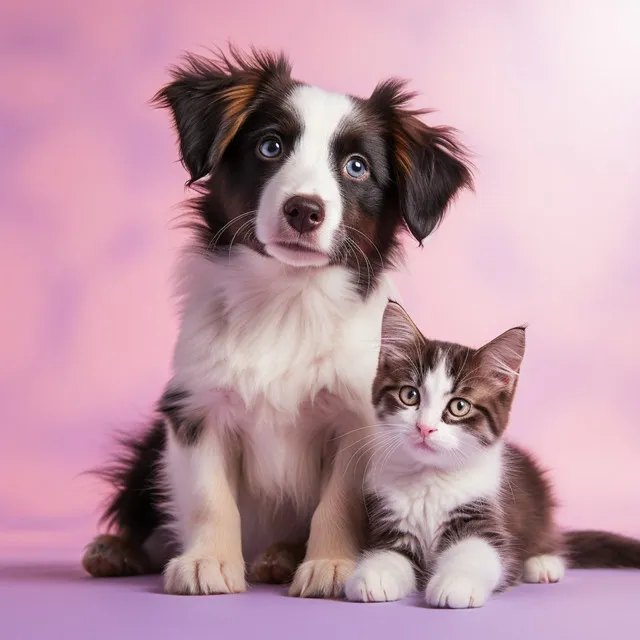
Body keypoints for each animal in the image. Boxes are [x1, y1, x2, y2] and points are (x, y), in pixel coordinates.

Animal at [82, 47, 472, 596]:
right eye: (270, 146)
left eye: (356, 167)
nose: (304, 210)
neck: (288, 301)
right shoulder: (195, 405)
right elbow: (208, 495)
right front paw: (207, 560)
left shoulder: (355, 417)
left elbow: (340, 501)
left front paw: (332, 564)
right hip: (149, 444)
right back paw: (117, 549)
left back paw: (281, 556)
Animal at [344, 302, 640, 608]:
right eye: (409, 395)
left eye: (459, 406)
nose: (424, 428)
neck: (429, 478)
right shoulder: (389, 520)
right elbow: (388, 554)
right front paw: (374, 576)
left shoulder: (487, 516)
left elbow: (478, 552)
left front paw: (455, 583)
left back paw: (543, 563)